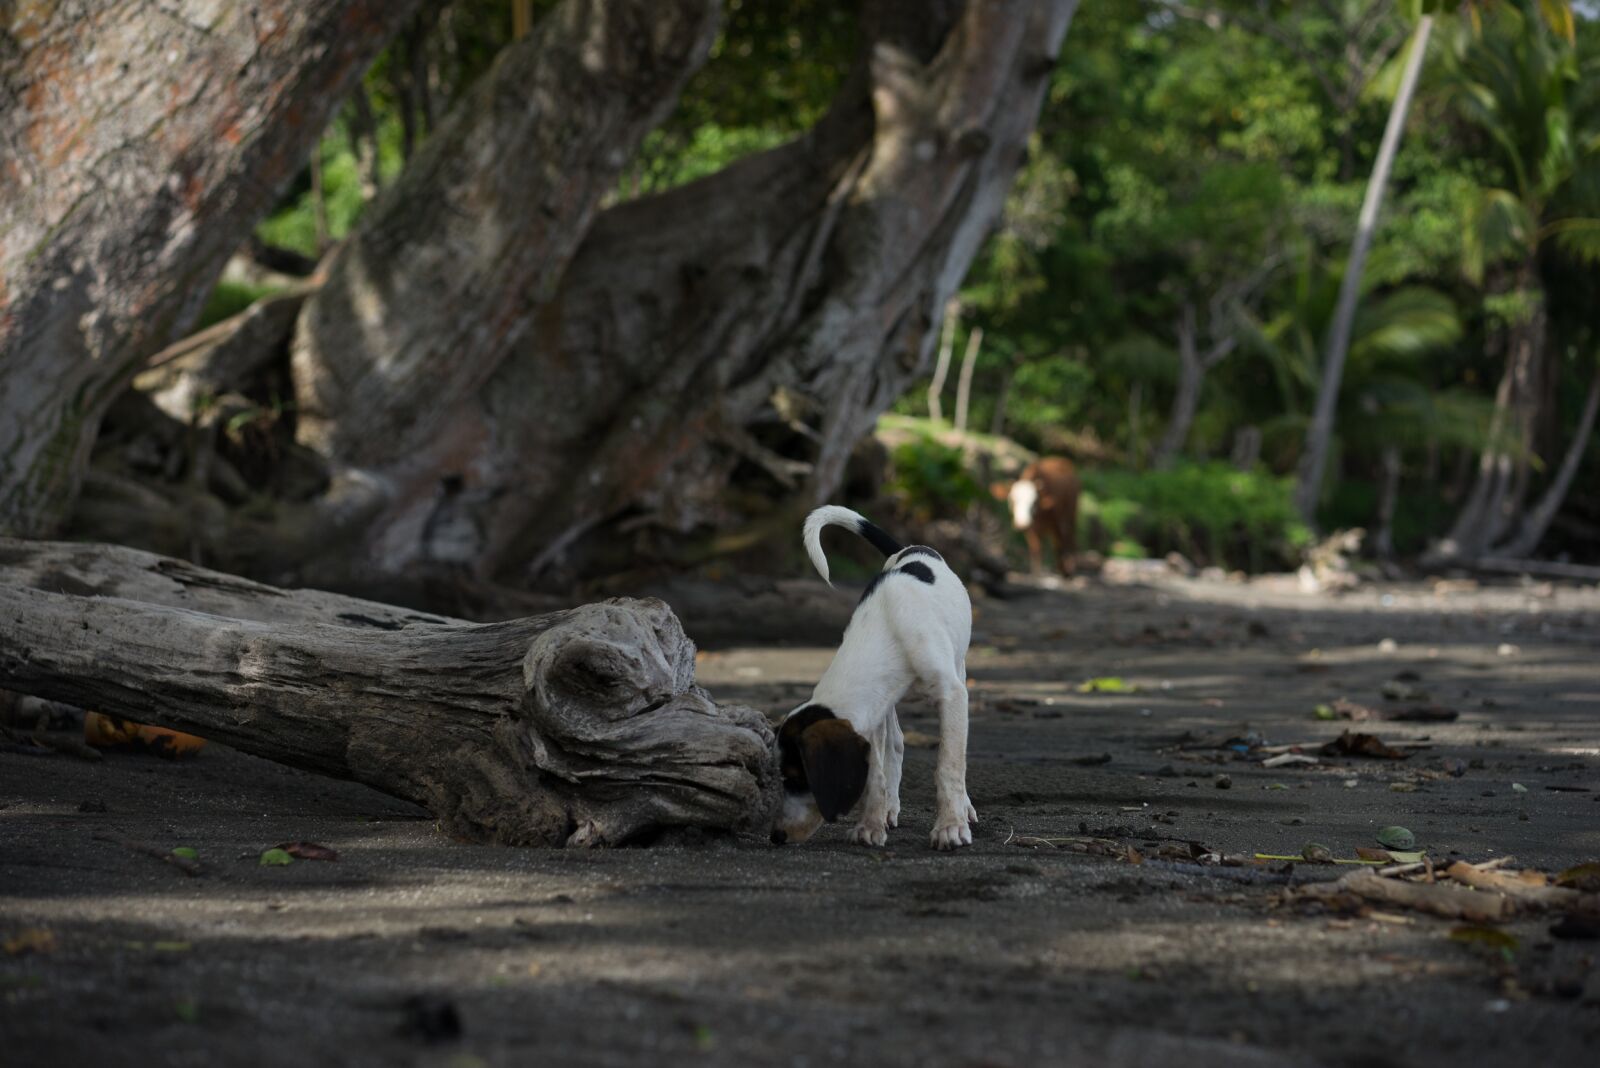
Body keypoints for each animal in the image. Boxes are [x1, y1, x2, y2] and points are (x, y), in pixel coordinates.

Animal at [771, 508, 979, 850]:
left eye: (798, 778)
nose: (776, 835)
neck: (889, 626)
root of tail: (910, 548)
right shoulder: (873, 713)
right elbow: (875, 775)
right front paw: (870, 824)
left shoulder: (952, 694)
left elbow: (948, 765)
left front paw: (950, 826)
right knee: (895, 744)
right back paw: (890, 808)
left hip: (959, 667)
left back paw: (964, 808)